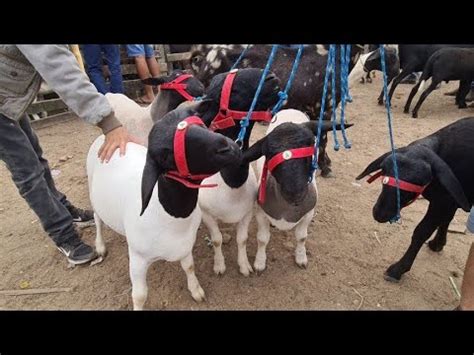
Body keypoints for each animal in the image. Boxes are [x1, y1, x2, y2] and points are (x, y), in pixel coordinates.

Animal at [86, 104, 241, 310]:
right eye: (166, 155)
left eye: (199, 120)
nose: (228, 148)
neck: (169, 216)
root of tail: (105, 138)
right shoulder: (138, 258)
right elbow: (139, 295)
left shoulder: (185, 245)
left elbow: (189, 267)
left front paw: (196, 291)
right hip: (92, 191)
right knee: (97, 219)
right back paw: (100, 246)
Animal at [244, 111, 352, 272]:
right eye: (268, 153)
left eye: (311, 144)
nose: (296, 193)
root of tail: (290, 109)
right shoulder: (261, 213)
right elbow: (262, 239)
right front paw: (260, 263)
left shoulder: (308, 214)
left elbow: (302, 237)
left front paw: (301, 258)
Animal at [358, 118, 472, 282]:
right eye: (383, 169)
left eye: (420, 181)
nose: (380, 214)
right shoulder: (449, 200)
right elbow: (446, 220)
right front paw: (438, 244)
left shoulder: (444, 202)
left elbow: (421, 232)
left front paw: (397, 270)